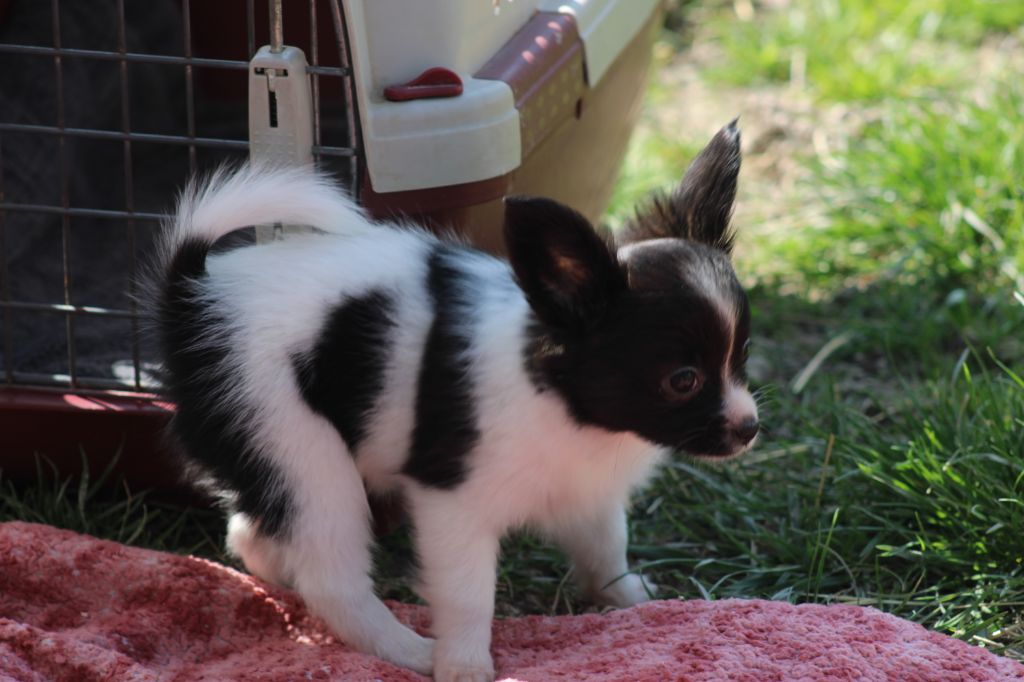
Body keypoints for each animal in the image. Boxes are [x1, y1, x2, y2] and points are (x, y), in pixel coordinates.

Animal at [151, 121, 758, 681]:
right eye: (683, 380)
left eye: (743, 355)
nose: (750, 428)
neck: (567, 404)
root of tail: (194, 295)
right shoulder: (452, 506)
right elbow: (469, 596)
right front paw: (464, 665)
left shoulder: (588, 495)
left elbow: (607, 549)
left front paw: (635, 602)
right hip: (302, 454)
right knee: (329, 578)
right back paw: (407, 650)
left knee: (251, 533)